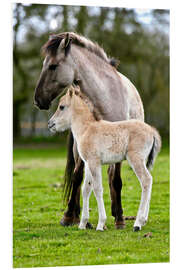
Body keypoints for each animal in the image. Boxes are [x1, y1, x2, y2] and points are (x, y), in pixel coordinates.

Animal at [33, 32, 143, 230]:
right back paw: (78, 215)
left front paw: (120, 219)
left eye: (53, 66)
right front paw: (69, 216)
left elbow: (116, 181)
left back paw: (116, 212)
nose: (38, 100)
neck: (105, 98)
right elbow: (77, 178)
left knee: (110, 177)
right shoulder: (83, 148)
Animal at [48, 87, 161, 232]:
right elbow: (86, 189)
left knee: (146, 180)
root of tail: (152, 131)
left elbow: (97, 189)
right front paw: (82, 224)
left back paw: (138, 223)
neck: (87, 129)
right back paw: (144, 220)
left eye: (61, 107)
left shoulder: (94, 163)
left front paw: (101, 224)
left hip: (135, 159)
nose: (50, 124)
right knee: (149, 180)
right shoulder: (88, 163)